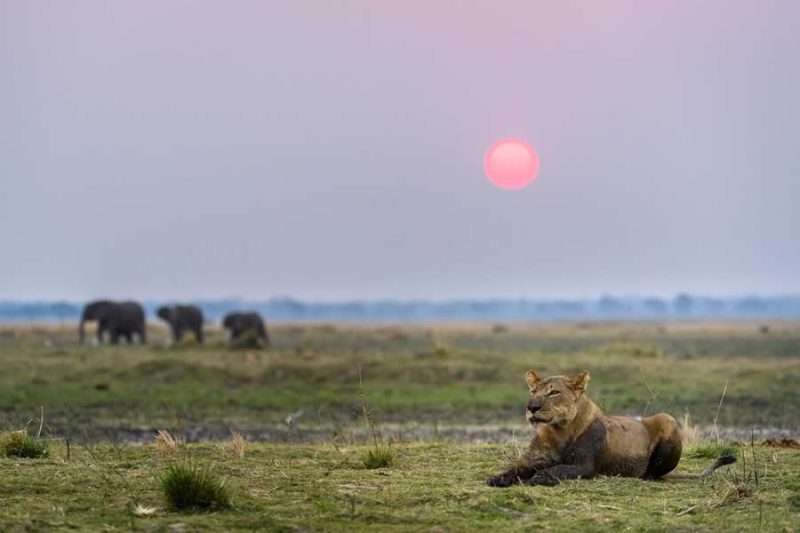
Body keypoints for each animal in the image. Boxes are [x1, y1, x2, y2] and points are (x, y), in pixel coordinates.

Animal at [484, 370, 736, 486]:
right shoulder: (533, 459)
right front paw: (498, 478)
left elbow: (557, 469)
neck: (558, 430)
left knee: (654, 473)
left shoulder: (584, 466)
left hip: (666, 418)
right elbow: (515, 468)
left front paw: (538, 477)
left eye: (554, 392)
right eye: (533, 391)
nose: (531, 407)